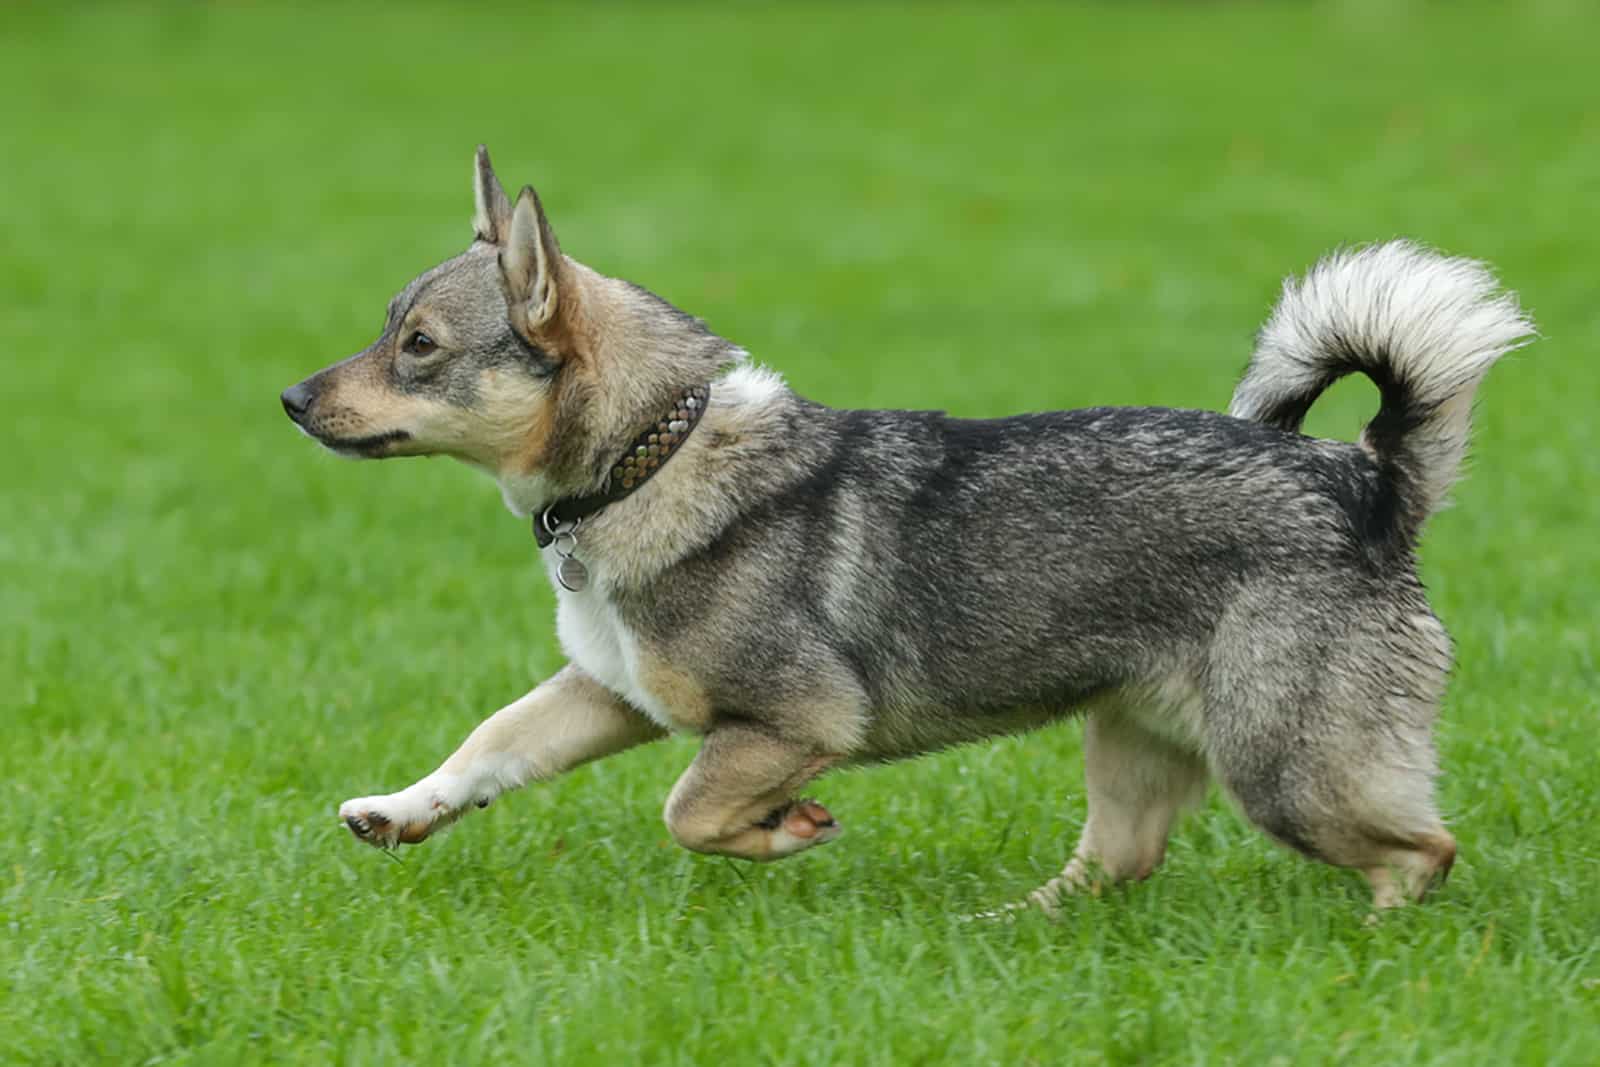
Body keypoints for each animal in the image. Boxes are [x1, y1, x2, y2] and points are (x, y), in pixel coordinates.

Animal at [281, 147, 1529, 908]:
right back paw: (1010, 927)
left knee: (1422, 848)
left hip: (1280, 765)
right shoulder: (609, 692)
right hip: (1137, 736)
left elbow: (690, 808)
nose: (290, 399)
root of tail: (1367, 480)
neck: (654, 456)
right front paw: (396, 811)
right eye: (389, 329)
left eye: (419, 347)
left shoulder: (791, 718)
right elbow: (489, 743)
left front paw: (786, 829)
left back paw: (1375, 946)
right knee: (1115, 862)